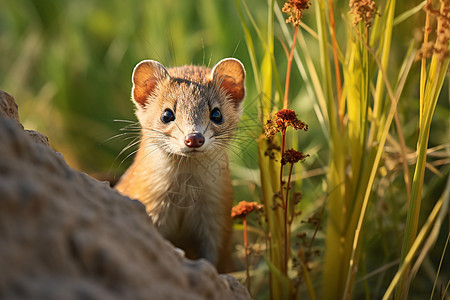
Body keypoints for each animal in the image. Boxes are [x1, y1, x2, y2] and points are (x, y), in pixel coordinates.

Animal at [114, 56, 244, 272]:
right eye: (167, 114)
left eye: (216, 114)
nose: (194, 138)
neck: (184, 195)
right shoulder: (147, 199)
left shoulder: (219, 212)